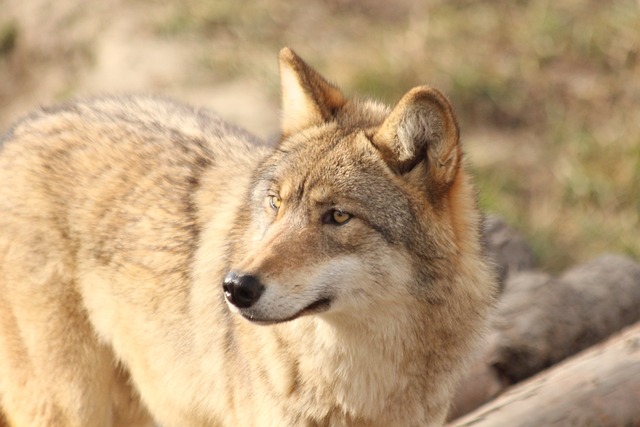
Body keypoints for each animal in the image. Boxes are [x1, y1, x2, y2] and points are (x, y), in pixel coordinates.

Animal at [0, 48, 496, 426]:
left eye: (338, 216)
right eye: (275, 202)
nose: (235, 287)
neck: (358, 387)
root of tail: (18, 130)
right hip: (71, 405)